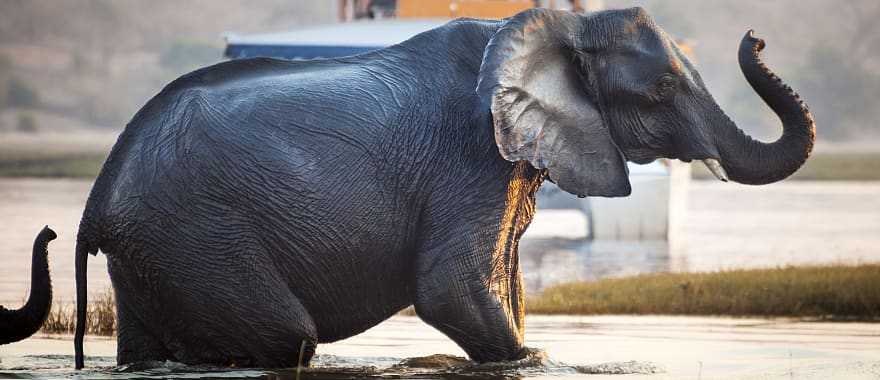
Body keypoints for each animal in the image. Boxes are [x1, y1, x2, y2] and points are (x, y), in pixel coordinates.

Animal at [63, 7, 820, 370]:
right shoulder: (469, 156)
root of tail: (97, 204)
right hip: (198, 234)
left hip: (157, 252)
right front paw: (534, 361)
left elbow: (504, 288)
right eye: (662, 87)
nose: (756, 36)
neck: (555, 26)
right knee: (286, 337)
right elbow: (451, 289)